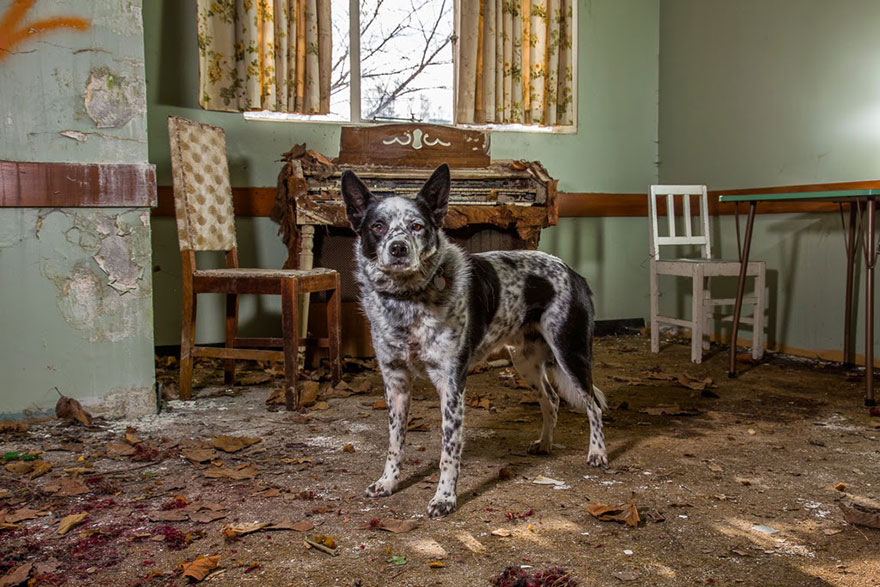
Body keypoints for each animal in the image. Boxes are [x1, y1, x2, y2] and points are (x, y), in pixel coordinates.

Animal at [340, 163, 608, 516]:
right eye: (378, 227)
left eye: (417, 226)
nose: (398, 248)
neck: (407, 301)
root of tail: (573, 272)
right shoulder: (395, 382)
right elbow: (395, 443)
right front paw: (388, 483)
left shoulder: (451, 384)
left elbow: (449, 450)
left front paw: (445, 497)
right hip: (525, 361)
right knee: (550, 399)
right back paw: (546, 443)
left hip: (570, 352)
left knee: (593, 405)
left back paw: (598, 453)